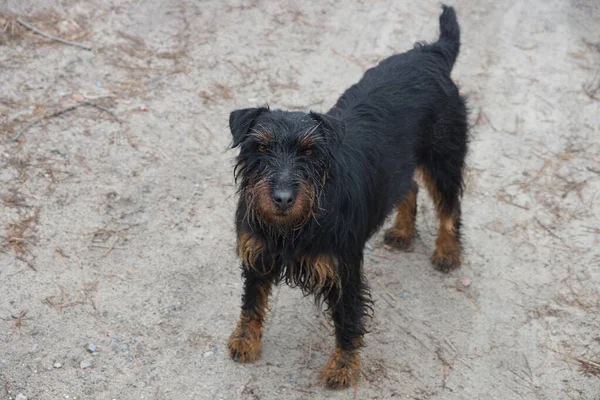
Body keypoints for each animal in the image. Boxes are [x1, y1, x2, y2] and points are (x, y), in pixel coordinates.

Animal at [227, 4, 466, 390]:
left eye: (310, 151)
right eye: (259, 147)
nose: (282, 197)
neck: (293, 226)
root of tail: (433, 52)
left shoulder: (344, 271)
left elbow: (348, 321)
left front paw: (342, 367)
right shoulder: (257, 255)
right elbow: (251, 302)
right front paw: (246, 341)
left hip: (444, 158)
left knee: (450, 206)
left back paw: (447, 251)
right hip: (401, 164)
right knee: (410, 188)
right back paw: (403, 232)